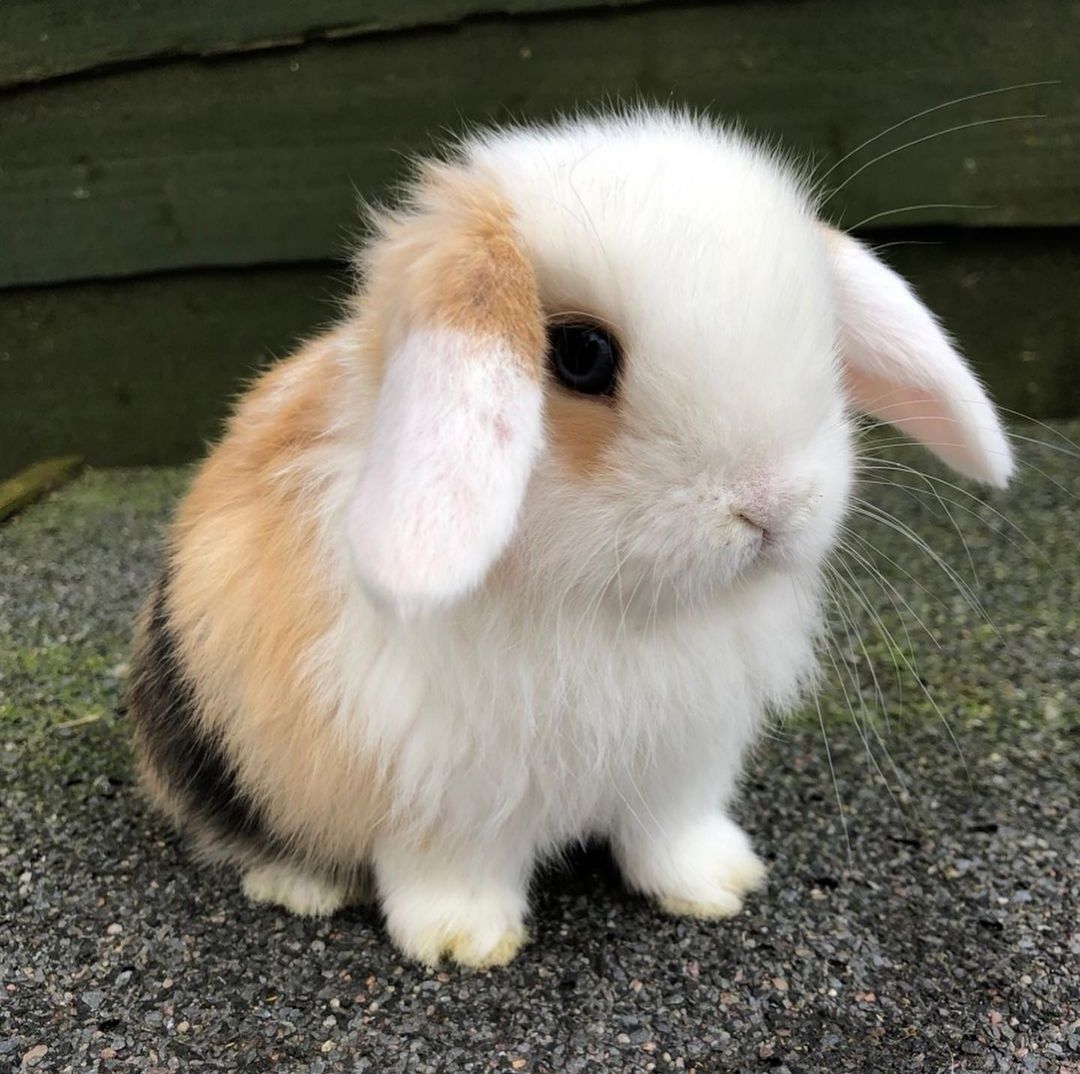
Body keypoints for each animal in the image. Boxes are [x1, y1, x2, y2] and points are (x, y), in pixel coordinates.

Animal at [126, 106, 1010, 963]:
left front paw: (719, 885)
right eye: (581, 354)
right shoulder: (438, 792)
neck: (607, 603)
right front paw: (462, 942)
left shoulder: (683, 765)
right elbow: (451, 870)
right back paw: (300, 887)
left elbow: (671, 837)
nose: (772, 505)